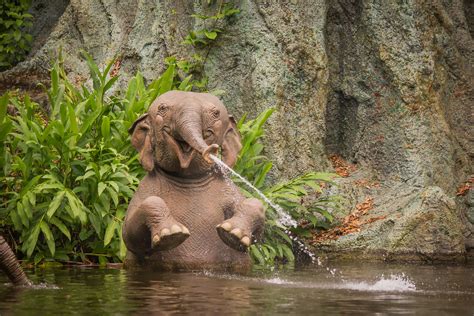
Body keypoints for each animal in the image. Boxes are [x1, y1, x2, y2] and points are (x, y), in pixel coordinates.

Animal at [123, 90, 266, 270]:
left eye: (215, 113)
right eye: (162, 109)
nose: (211, 150)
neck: (188, 178)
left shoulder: (229, 190)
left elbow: (258, 231)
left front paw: (233, 233)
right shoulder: (145, 188)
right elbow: (129, 235)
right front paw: (171, 234)